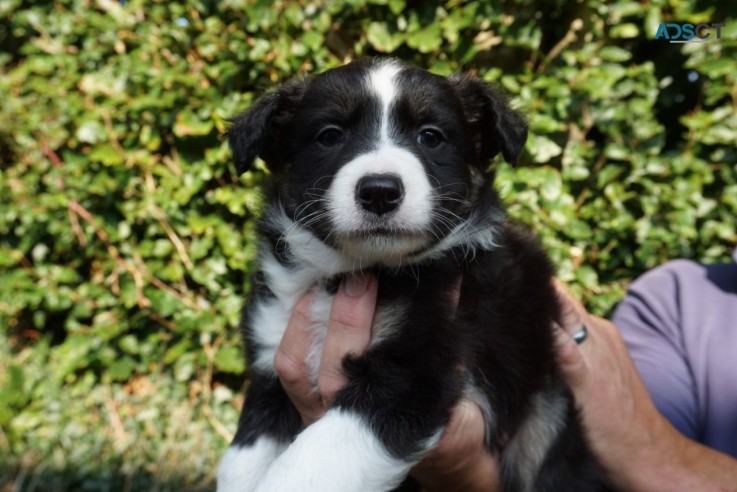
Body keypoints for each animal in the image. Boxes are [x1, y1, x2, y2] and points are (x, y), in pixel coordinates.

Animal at [216, 58, 608, 492]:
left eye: (430, 136)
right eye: (330, 135)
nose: (380, 191)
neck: (355, 271)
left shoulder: (415, 372)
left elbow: (306, 466)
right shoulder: (271, 368)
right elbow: (242, 461)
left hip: (543, 419)